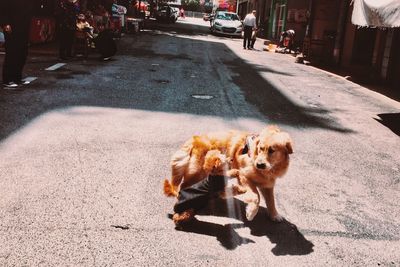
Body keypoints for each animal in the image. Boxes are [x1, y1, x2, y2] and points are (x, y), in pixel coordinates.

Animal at [164, 126, 292, 223]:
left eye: (272, 151)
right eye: (260, 148)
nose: (259, 164)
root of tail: (194, 139)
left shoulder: (268, 183)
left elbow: (271, 200)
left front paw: (274, 215)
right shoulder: (244, 176)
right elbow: (256, 196)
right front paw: (251, 212)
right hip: (198, 172)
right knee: (184, 186)